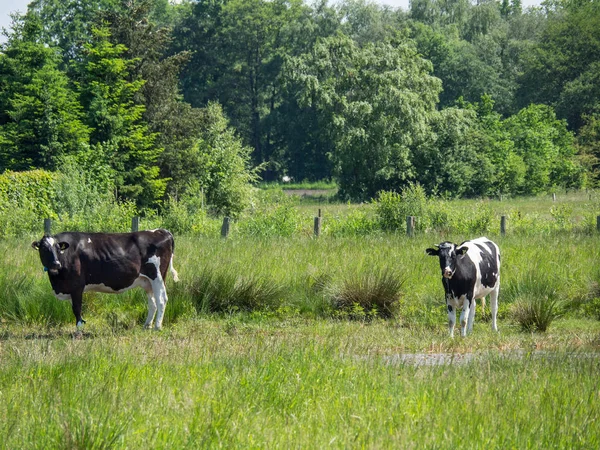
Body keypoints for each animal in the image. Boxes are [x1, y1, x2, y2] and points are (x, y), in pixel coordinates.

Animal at [31, 229, 179, 330]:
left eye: (58, 249)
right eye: (44, 248)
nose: (56, 263)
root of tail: (161, 231)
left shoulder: (77, 285)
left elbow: (77, 308)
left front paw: (79, 329)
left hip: (157, 277)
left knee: (161, 300)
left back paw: (157, 327)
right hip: (147, 281)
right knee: (152, 302)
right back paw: (147, 325)